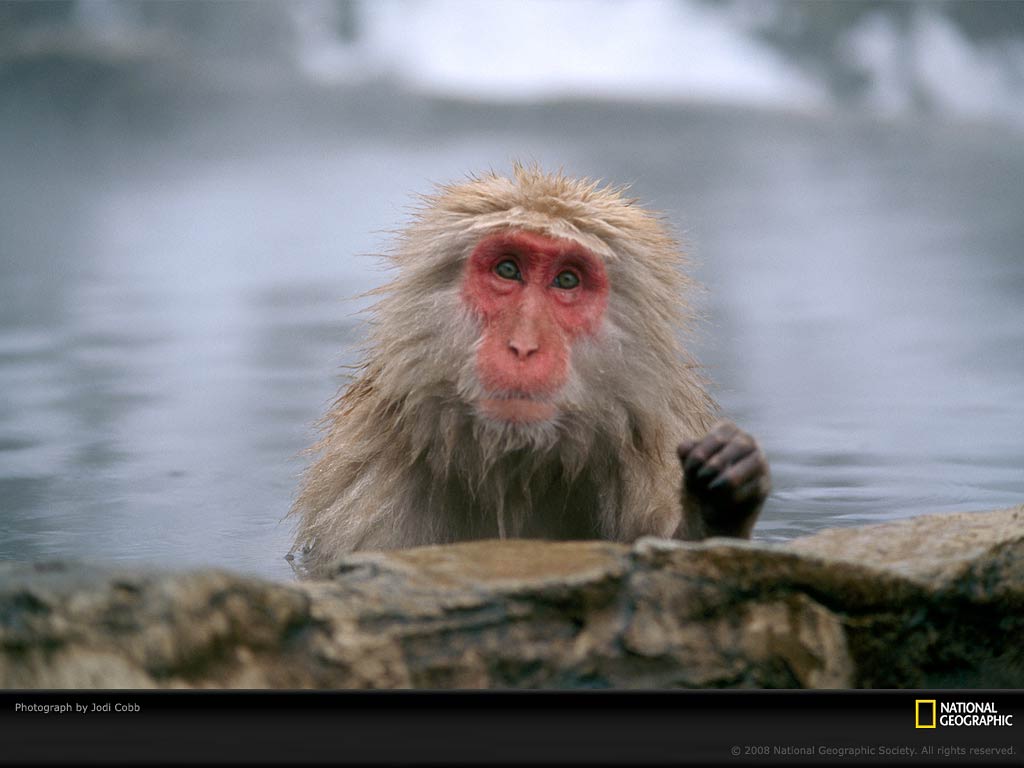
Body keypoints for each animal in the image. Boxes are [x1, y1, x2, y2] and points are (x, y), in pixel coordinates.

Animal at [289, 165, 770, 578]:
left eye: (567, 280)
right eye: (508, 270)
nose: (523, 346)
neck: (517, 466)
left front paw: (718, 501)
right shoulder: (373, 482)